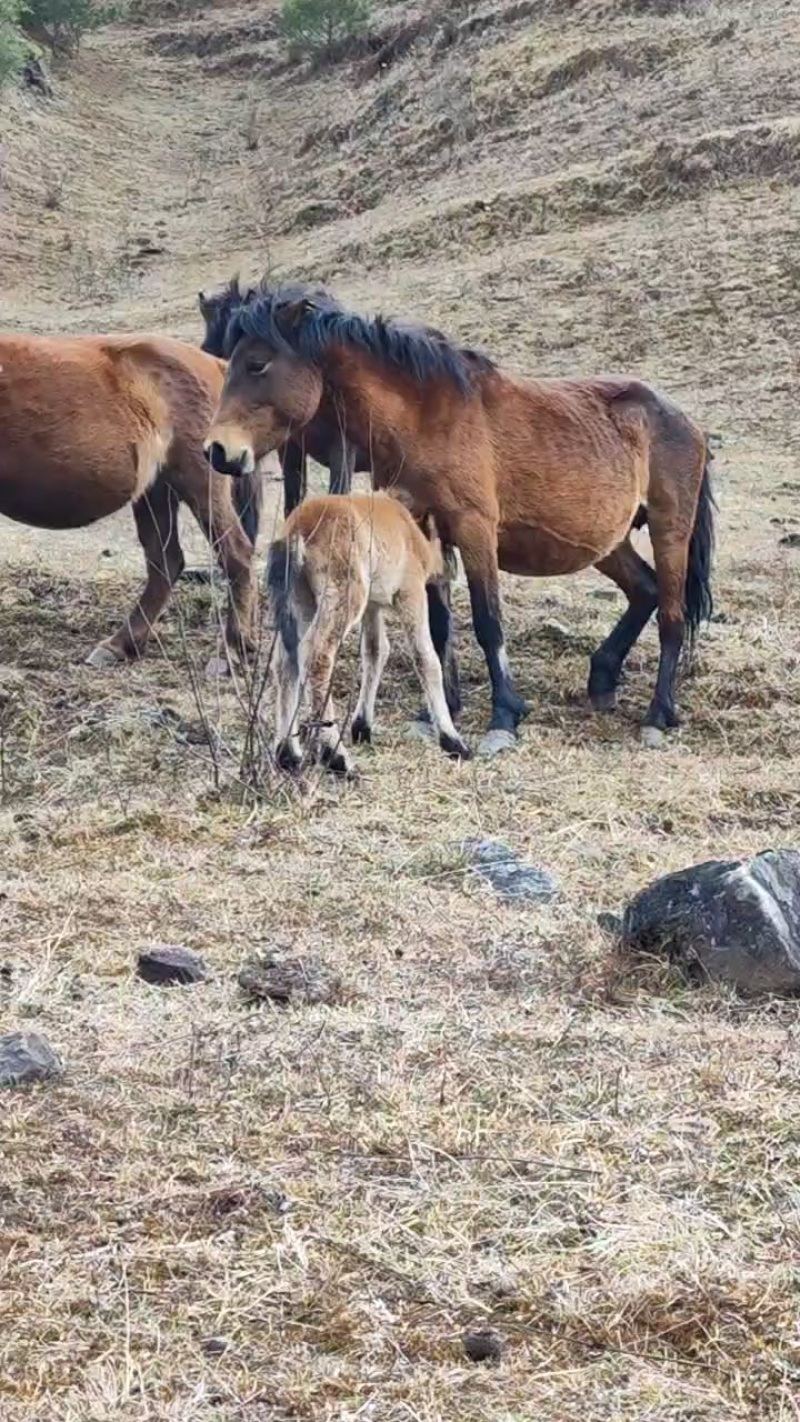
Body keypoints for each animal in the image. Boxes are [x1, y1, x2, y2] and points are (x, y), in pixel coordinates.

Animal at [0, 331, 260, 671]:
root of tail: (217, 365)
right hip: (156, 491)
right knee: (166, 563)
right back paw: (122, 645)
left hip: (199, 481)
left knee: (236, 555)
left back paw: (232, 651)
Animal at [266, 491, 471, 777]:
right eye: (444, 542)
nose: (452, 570)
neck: (410, 530)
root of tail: (296, 529)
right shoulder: (410, 594)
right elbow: (425, 658)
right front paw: (452, 740)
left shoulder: (372, 607)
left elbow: (376, 651)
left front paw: (363, 726)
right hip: (344, 597)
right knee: (316, 655)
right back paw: (336, 757)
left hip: (302, 602)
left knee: (287, 661)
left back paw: (288, 754)